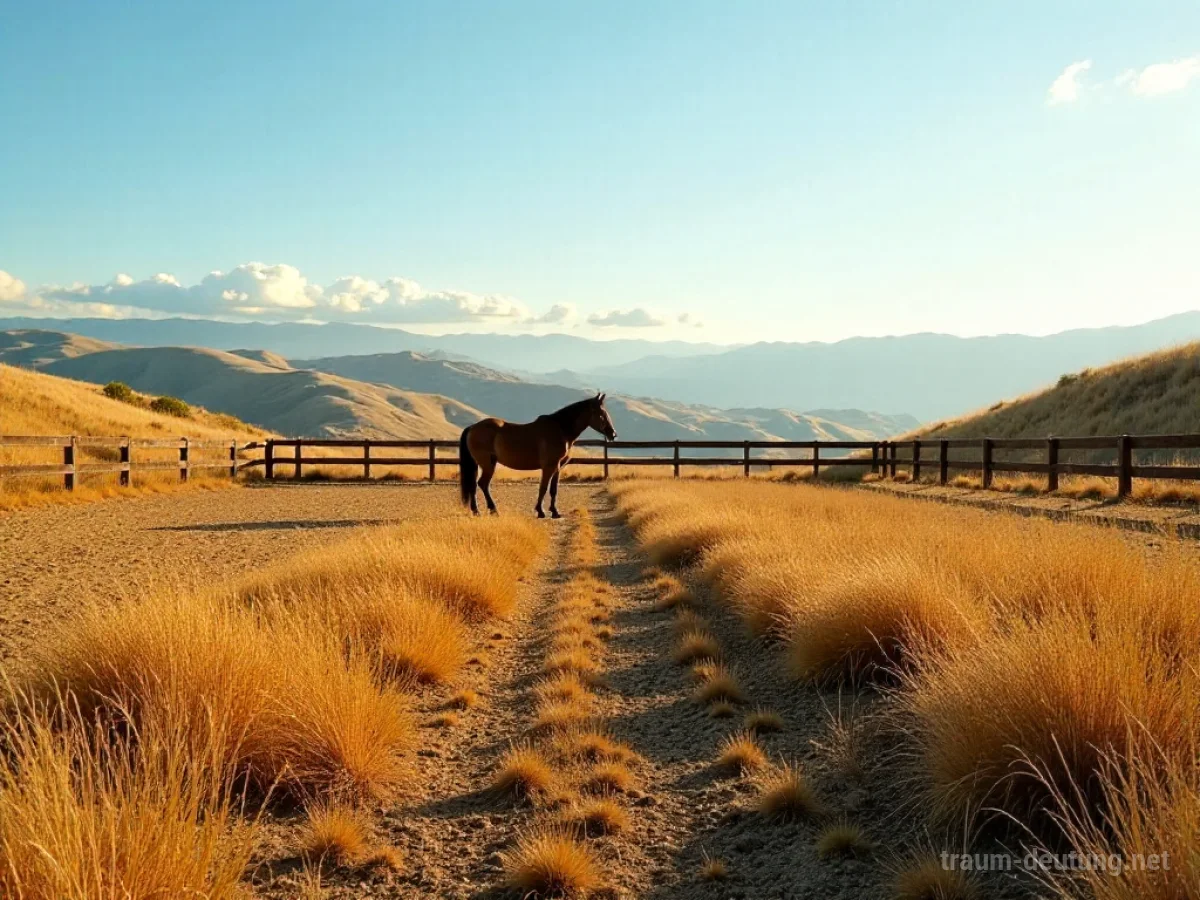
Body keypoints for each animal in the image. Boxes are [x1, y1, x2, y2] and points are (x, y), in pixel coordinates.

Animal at [459, 393, 618, 518]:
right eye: (601, 414)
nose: (613, 434)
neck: (560, 430)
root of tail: (472, 427)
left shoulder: (557, 467)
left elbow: (553, 490)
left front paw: (554, 512)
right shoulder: (549, 467)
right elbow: (543, 487)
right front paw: (540, 511)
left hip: (480, 464)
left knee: (474, 485)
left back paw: (476, 511)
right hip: (488, 464)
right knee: (482, 484)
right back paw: (492, 510)